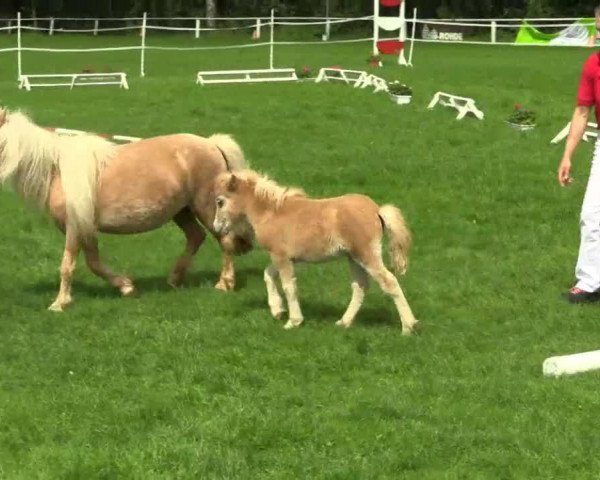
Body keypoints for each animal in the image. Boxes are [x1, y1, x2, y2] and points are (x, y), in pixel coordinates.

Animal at [0, 108, 254, 312]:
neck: (57, 168)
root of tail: (212, 143)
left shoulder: (74, 226)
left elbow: (67, 265)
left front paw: (59, 303)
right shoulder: (84, 227)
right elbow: (94, 262)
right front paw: (126, 287)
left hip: (206, 208)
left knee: (224, 240)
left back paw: (224, 284)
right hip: (181, 211)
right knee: (196, 237)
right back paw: (174, 278)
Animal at [213, 170, 420, 334]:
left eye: (220, 202)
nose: (216, 228)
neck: (271, 213)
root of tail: (377, 210)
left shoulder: (280, 256)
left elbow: (288, 286)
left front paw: (293, 321)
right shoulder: (288, 258)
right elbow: (268, 274)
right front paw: (277, 310)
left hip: (366, 254)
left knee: (389, 282)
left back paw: (408, 326)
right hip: (353, 257)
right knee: (360, 286)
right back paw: (344, 322)